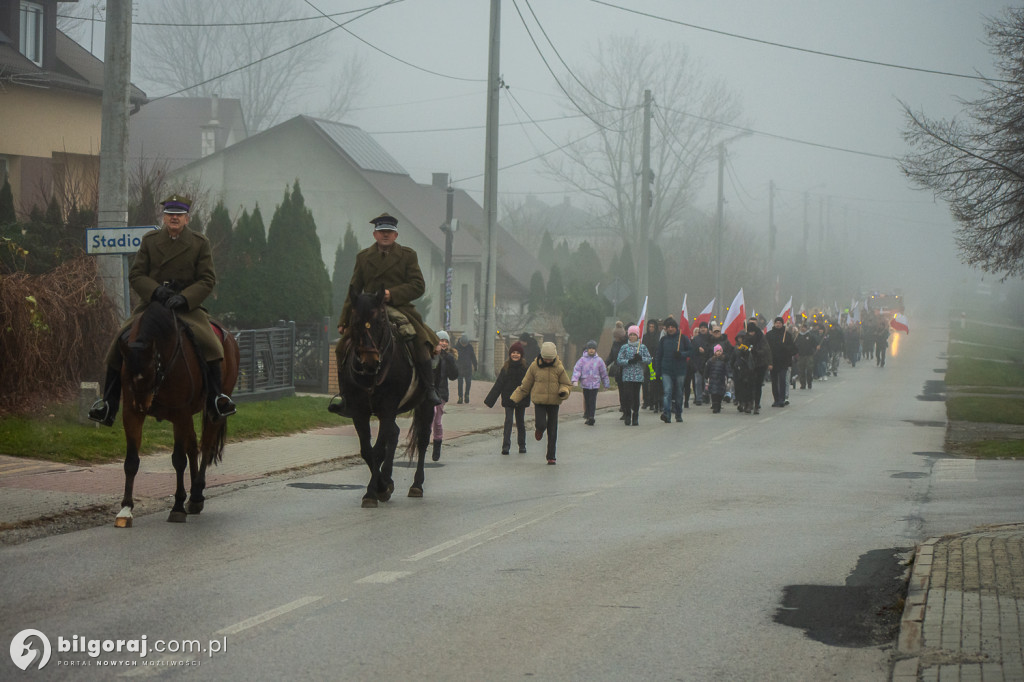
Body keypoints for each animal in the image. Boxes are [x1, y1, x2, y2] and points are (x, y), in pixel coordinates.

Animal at [113, 303, 239, 524]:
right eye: (127, 372)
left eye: (153, 370)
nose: (143, 405)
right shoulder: (131, 413)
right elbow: (131, 461)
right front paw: (126, 509)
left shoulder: (180, 412)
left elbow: (179, 460)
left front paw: (178, 506)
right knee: (193, 446)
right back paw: (195, 496)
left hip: (211, 411)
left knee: (206, 446)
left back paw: (196, 494)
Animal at [335, 286, 432, 503]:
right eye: (355, 321)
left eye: (379, 321)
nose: (370, 361)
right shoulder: (359, 411)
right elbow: (367, 451)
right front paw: (381, 486)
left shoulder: (387, 408)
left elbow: (378, 450)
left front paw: (373, 492)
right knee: (394, 433)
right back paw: (388, 478)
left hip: (425, 404)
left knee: (422, 439)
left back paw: (417, 485)